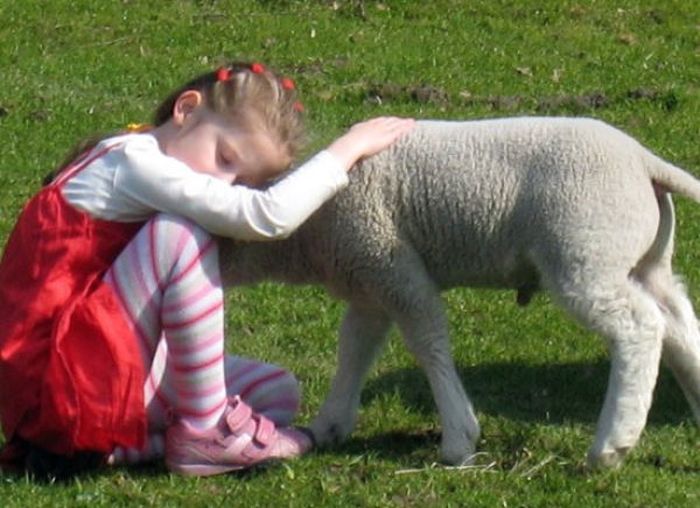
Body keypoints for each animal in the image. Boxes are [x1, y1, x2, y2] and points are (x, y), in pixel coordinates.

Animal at [219, 116, 700, 468]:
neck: (311, 227)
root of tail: (643, 161)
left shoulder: (390, 263)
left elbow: (428, 342)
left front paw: (459, 438)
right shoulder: (368, 282)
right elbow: (354, 348)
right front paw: (330, 424)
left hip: (586, 250)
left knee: (639, 327)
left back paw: (612, 445)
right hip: (644, 259)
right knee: (675, 319)